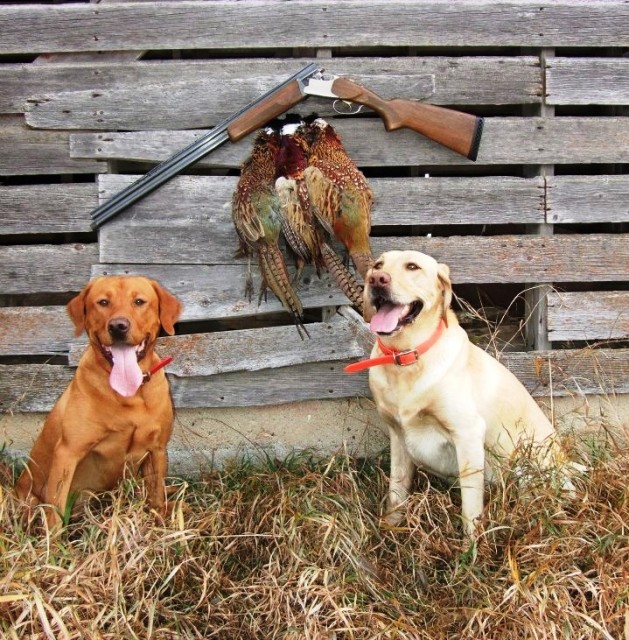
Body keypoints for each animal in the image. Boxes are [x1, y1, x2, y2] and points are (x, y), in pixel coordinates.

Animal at [15, 272, 182, 528]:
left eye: (139, 302)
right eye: (103, 302)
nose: (118, 326)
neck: (130, 394)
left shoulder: (157, 449)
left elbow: (155, 496)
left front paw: (160, 521)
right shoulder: (67, 453)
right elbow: (55, 511)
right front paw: (54, 539)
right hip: (30, 498)